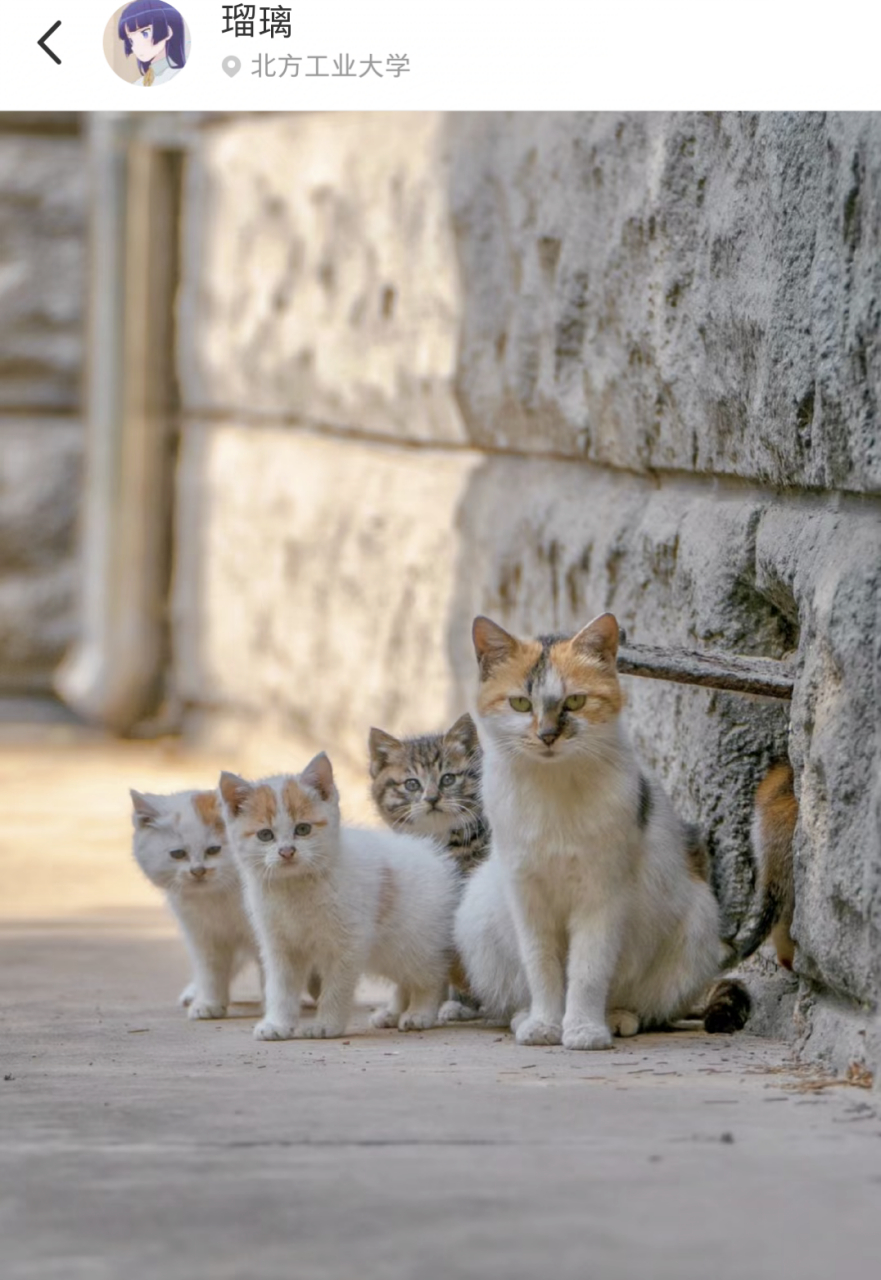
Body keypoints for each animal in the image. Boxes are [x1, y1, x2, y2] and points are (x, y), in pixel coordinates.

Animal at [129, 778, 258, 1018]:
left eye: (214, 850)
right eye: (178, 854)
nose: (198, 871)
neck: (218, 898)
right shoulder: (202, 933)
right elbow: (211, 968)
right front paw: (209, 1003)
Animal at [218, 747, 460, 1039]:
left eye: (303, 829)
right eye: (265, 835)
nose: (287, 852)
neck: (295, 888)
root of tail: (431, 850)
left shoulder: (348, 943)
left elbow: (336, 988)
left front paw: (326, 1025)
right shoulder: (279, 946)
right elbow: (280, 988)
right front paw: (277, 1024)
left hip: (414, 940)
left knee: (430, 975)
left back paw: (419, 1013)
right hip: (386, 950)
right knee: (406, 978)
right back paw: (392, 1013)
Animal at [450, 611, 727, 1049]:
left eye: (576, 701)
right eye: (520, 703)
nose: (547, 736)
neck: (554, 787)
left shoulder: (602, 894)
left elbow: (588, 969)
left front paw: (583, 1030)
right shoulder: (527, 895)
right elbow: (542, 966)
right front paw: (545, 1025)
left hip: (699, 924)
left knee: (640, 1002)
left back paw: (615, 1018)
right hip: (476, 917)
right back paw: (526, 1017)